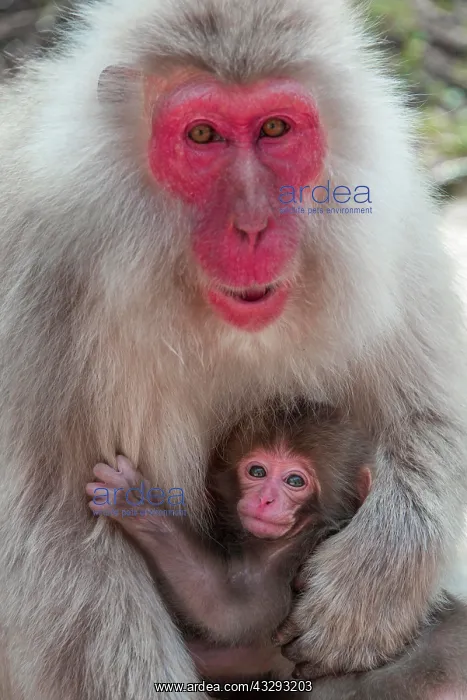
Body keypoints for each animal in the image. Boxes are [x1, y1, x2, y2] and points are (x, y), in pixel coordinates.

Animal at [85, 406, 374, 682]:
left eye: (295, 481)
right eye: (257, 471)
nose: (264, 499)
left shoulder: (291, 555)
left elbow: (229, 613)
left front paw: (136, 503)